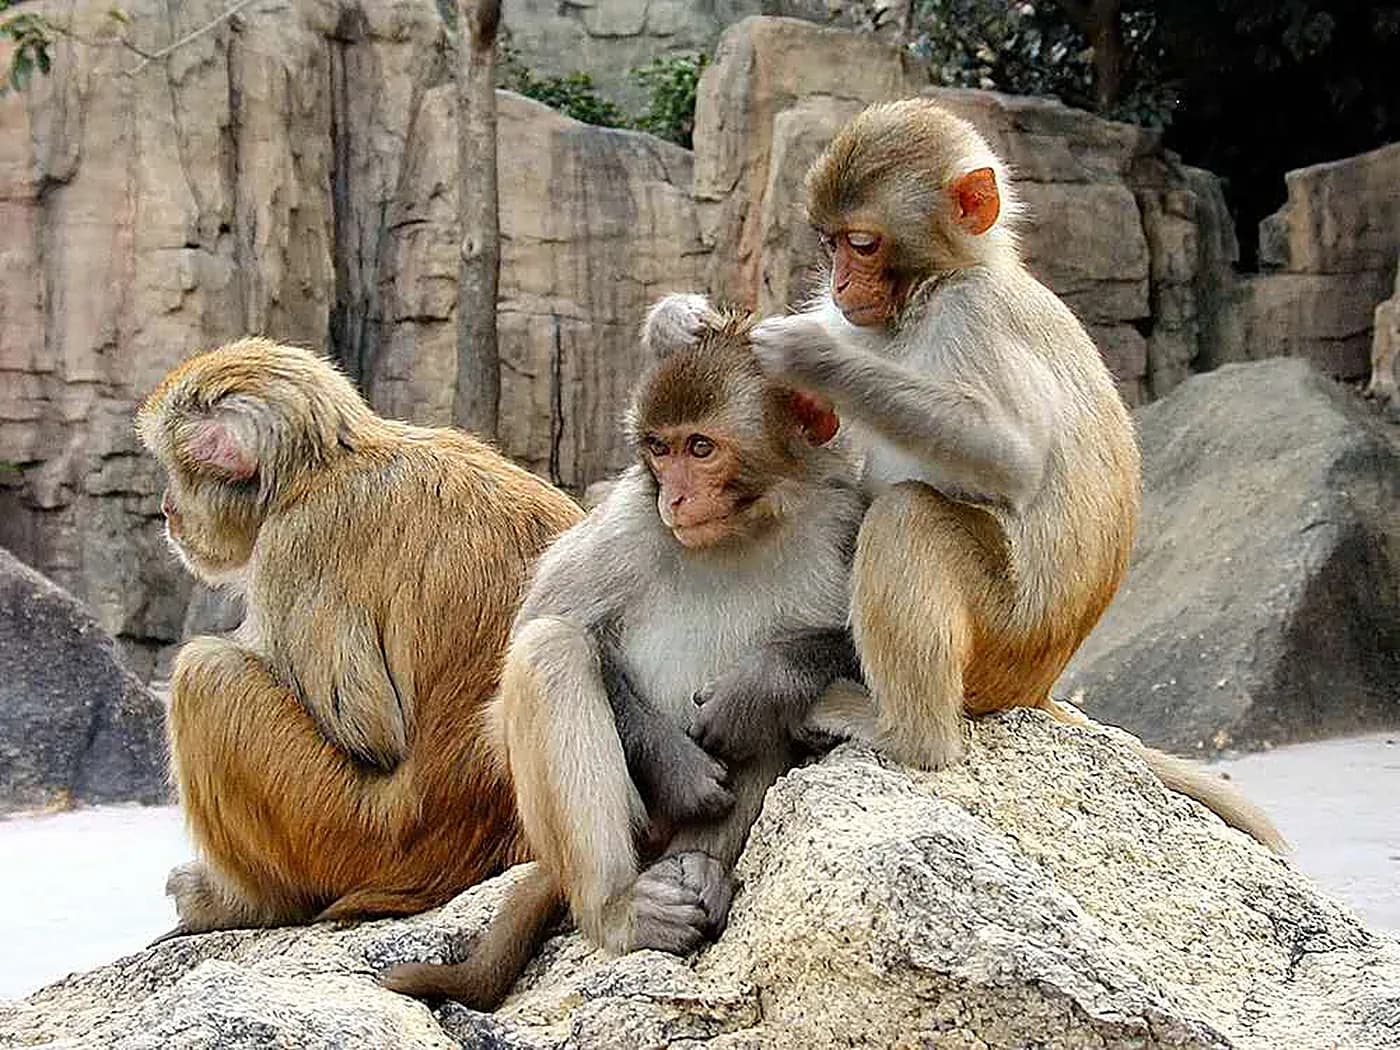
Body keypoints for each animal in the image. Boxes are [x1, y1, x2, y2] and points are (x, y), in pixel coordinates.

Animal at [134, 337, 585, 934]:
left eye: (175, 470)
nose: (167, 510)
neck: (324, 466)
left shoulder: (295, 543)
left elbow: (370, 731)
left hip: (352, 836)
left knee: (206, 675)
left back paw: (246, 903)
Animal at [379, 309, 868, 1008]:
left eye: (701, 448)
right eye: (659, 449)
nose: (676, 500)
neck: (747, 530)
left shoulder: (842, 515)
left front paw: (760, 682)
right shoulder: (625, 524)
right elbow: (525, 662)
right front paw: (680, 768)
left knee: (774, 722)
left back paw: (701, 865)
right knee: (550, 652)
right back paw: (619, 908)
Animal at [648, 99, 1285, 852]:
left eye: (862, 244)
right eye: (830, 245)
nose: (839, 284)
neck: (927, 293)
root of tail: (1036, 689)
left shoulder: (972, 315)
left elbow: (1008, 455)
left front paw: (810, 354)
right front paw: (679, 321)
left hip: (1000, 644)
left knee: (908, 516)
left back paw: (903, 733)